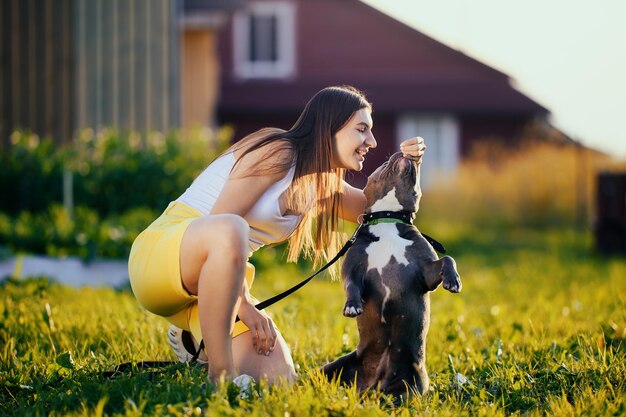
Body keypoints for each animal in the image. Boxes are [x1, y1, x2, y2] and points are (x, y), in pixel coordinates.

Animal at [322, 150, 458, 396]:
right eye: (384, 163)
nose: (405, 153)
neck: (387, 218)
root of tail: (372, 386)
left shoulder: (426, 272)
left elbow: (447, 259)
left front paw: (453, 281)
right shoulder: (353, 270)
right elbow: (351, 286)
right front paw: (352, 306)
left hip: (412, 383)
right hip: (332, 367)